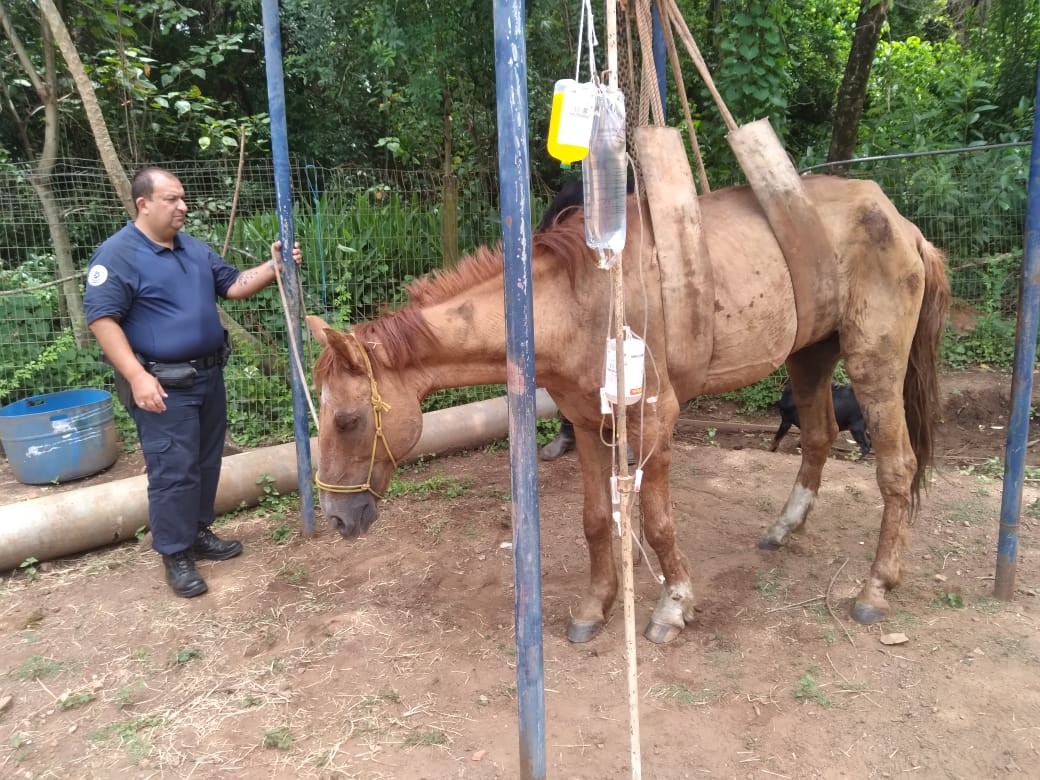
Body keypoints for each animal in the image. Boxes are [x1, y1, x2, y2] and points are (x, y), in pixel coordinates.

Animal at [303, 176, 948, 648]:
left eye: (347, 420)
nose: (336, 518)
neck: (577, 303)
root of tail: (902, 224)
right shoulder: (591, 426)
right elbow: (596, 520)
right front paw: (596, 606)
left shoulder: (655, 423)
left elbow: (657, 523)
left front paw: (673, 605)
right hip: (810, 358)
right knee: (817, 438)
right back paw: (784, 528)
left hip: (874, 366)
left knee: (896, 468)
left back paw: (875, 588)